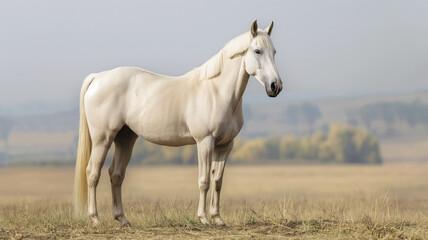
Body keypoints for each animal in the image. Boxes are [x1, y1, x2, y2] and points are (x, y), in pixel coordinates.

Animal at [73, 19, 282, 226]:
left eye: (274, 52)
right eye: (257, 51)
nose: (276, 86)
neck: (216, 92)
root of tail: (98, 77)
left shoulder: (225, 145)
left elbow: (217, 181)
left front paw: (217, 218)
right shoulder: (205, 142)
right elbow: (204, 181)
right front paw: (203, 218)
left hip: (125, 139)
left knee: (116, 174)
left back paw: (122, 219)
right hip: (102, 139)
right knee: (92, 173)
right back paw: (95, 219)